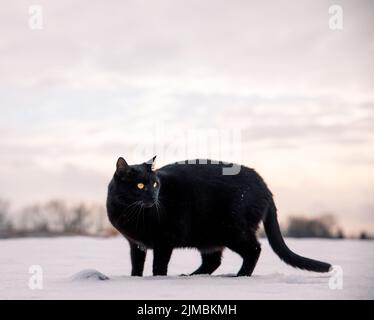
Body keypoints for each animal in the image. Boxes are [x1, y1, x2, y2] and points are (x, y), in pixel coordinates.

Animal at [105, 156, 330, 276]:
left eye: (154, 184)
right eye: (140, 185)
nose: (154, 196)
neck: (130, 212)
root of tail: (264, 185)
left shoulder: (164, 241)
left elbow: (158, 265)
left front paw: (157, 278)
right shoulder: (136, 244)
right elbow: (137, 264)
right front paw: (135, 278)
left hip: (232, 230)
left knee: (254, 249)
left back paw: (240, 276)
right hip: (209, 237)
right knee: (212, 261)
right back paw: (191, 276)